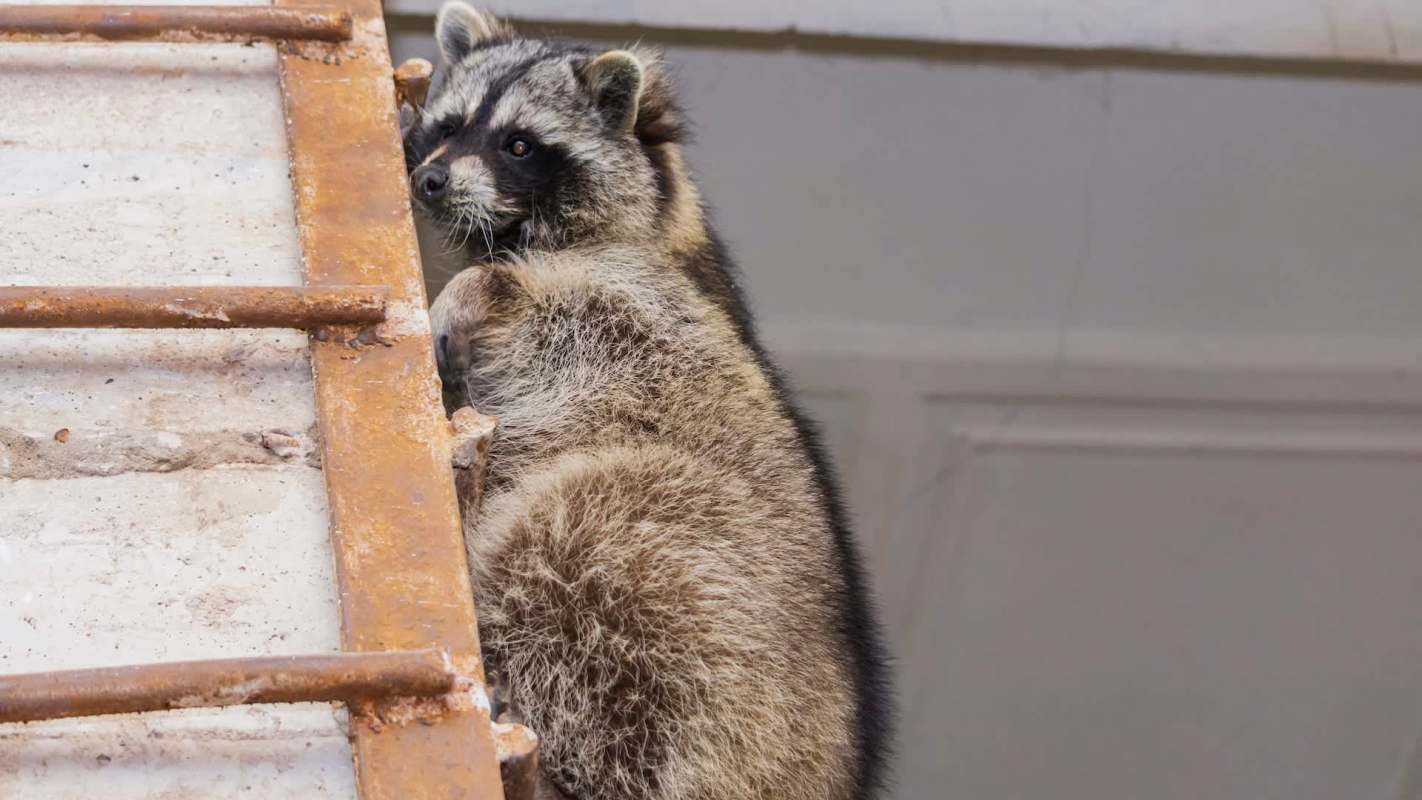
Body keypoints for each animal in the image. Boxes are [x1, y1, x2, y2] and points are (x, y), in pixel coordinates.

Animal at [407, 5, 890, 798]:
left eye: (519, 144)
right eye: (449, 124)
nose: (430, 179)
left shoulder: (652, 297)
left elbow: (576, 319)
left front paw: (475, 291)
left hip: (694, 584)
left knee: (578, 529)